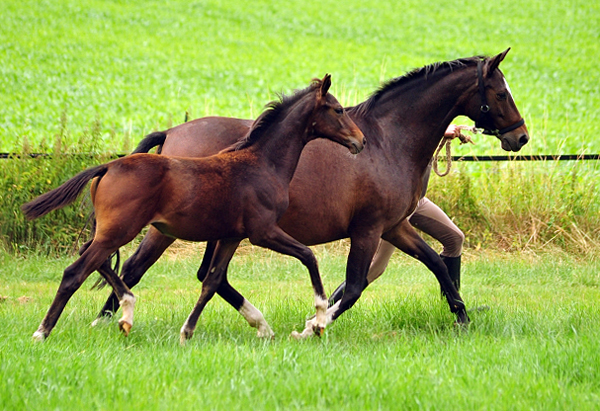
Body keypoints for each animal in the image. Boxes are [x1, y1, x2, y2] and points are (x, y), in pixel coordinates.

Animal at [22, 75, 366, 342]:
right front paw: (319, 318)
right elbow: (309, 256)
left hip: (115, 231)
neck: (262, 163)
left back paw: (127, 312)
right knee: (77, 271)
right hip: (123, 230)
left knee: (99, 260)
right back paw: (43, 332)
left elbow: (212, 280)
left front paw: (188, 332)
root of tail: (107, 166)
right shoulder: (263, 232)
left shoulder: (231, 236)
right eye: (338, 109)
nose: (360, 141)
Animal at [95, 49, 528, 338]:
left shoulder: (395, 227)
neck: (388, 140)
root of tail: (171, 132)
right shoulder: (368, 230)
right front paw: (312, 326)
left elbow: (437, 265)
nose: (521, 137)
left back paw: (255, 322)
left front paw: (463, 319)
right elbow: (352, 288)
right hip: (166, 229)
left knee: (207, 275)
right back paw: (107, 320)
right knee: (133, 266)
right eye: (501, 93)